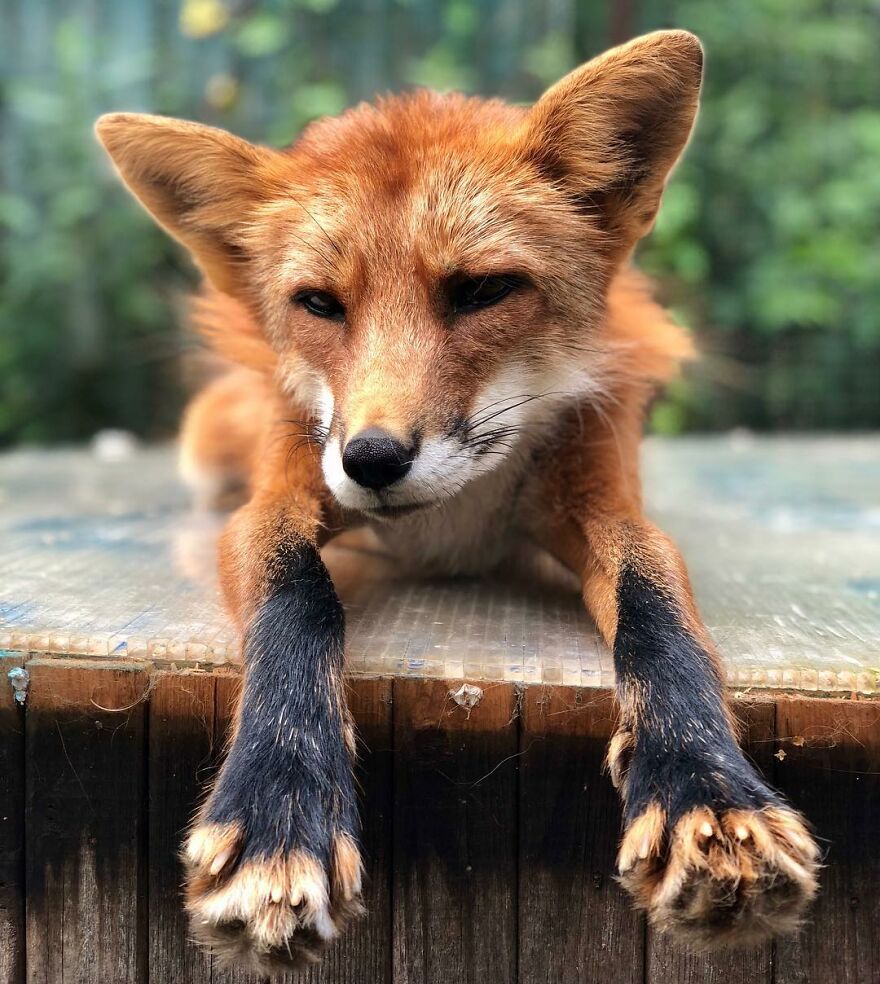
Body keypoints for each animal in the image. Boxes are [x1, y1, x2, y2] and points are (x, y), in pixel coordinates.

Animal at [96, 30, 820, 976]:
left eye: (481, 290)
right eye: (319, 304)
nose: (371, 460)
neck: (451, 522)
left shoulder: (608, 498)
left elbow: (655, 602)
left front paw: (706, 786)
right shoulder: (279, 497)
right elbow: (299, 599)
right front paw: (277, 806)